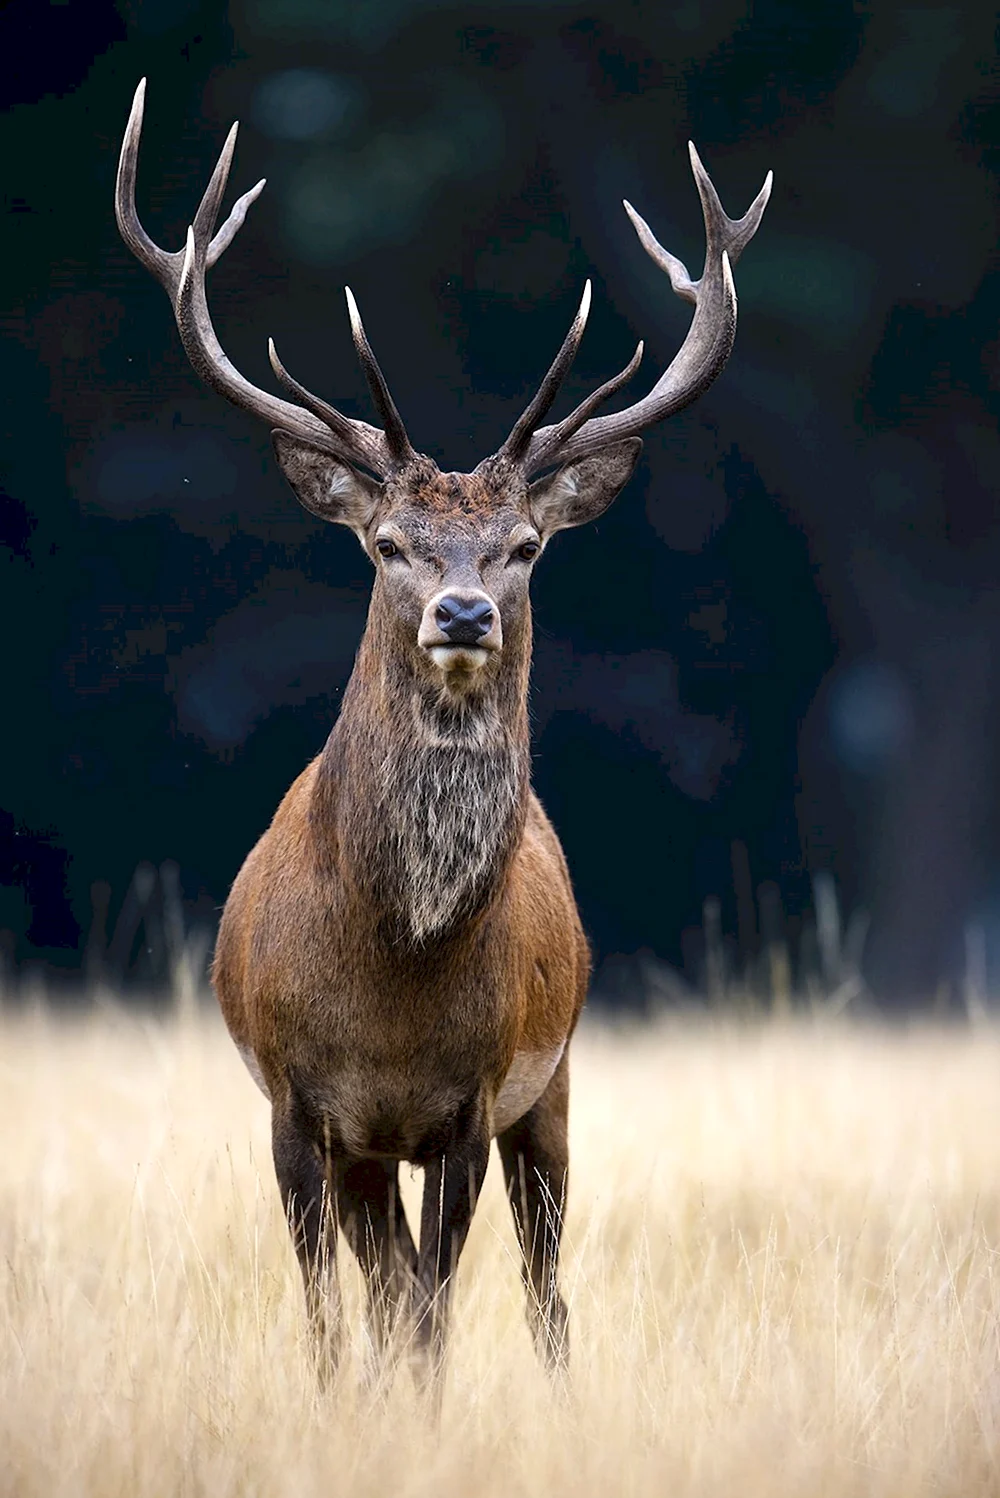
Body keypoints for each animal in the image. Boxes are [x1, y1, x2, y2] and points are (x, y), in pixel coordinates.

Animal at [117, 82, 772, 1384]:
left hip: (554, 1086)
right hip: (379, 1149)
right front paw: (340, 1402)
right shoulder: (297, 1106)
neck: (392, 980)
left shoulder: (472, 1102)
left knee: (542, 1287)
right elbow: (336, 1318)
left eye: (524, 545)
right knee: (385, 1284)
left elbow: (432, 1314)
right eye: (386, 543)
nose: (463, 611)